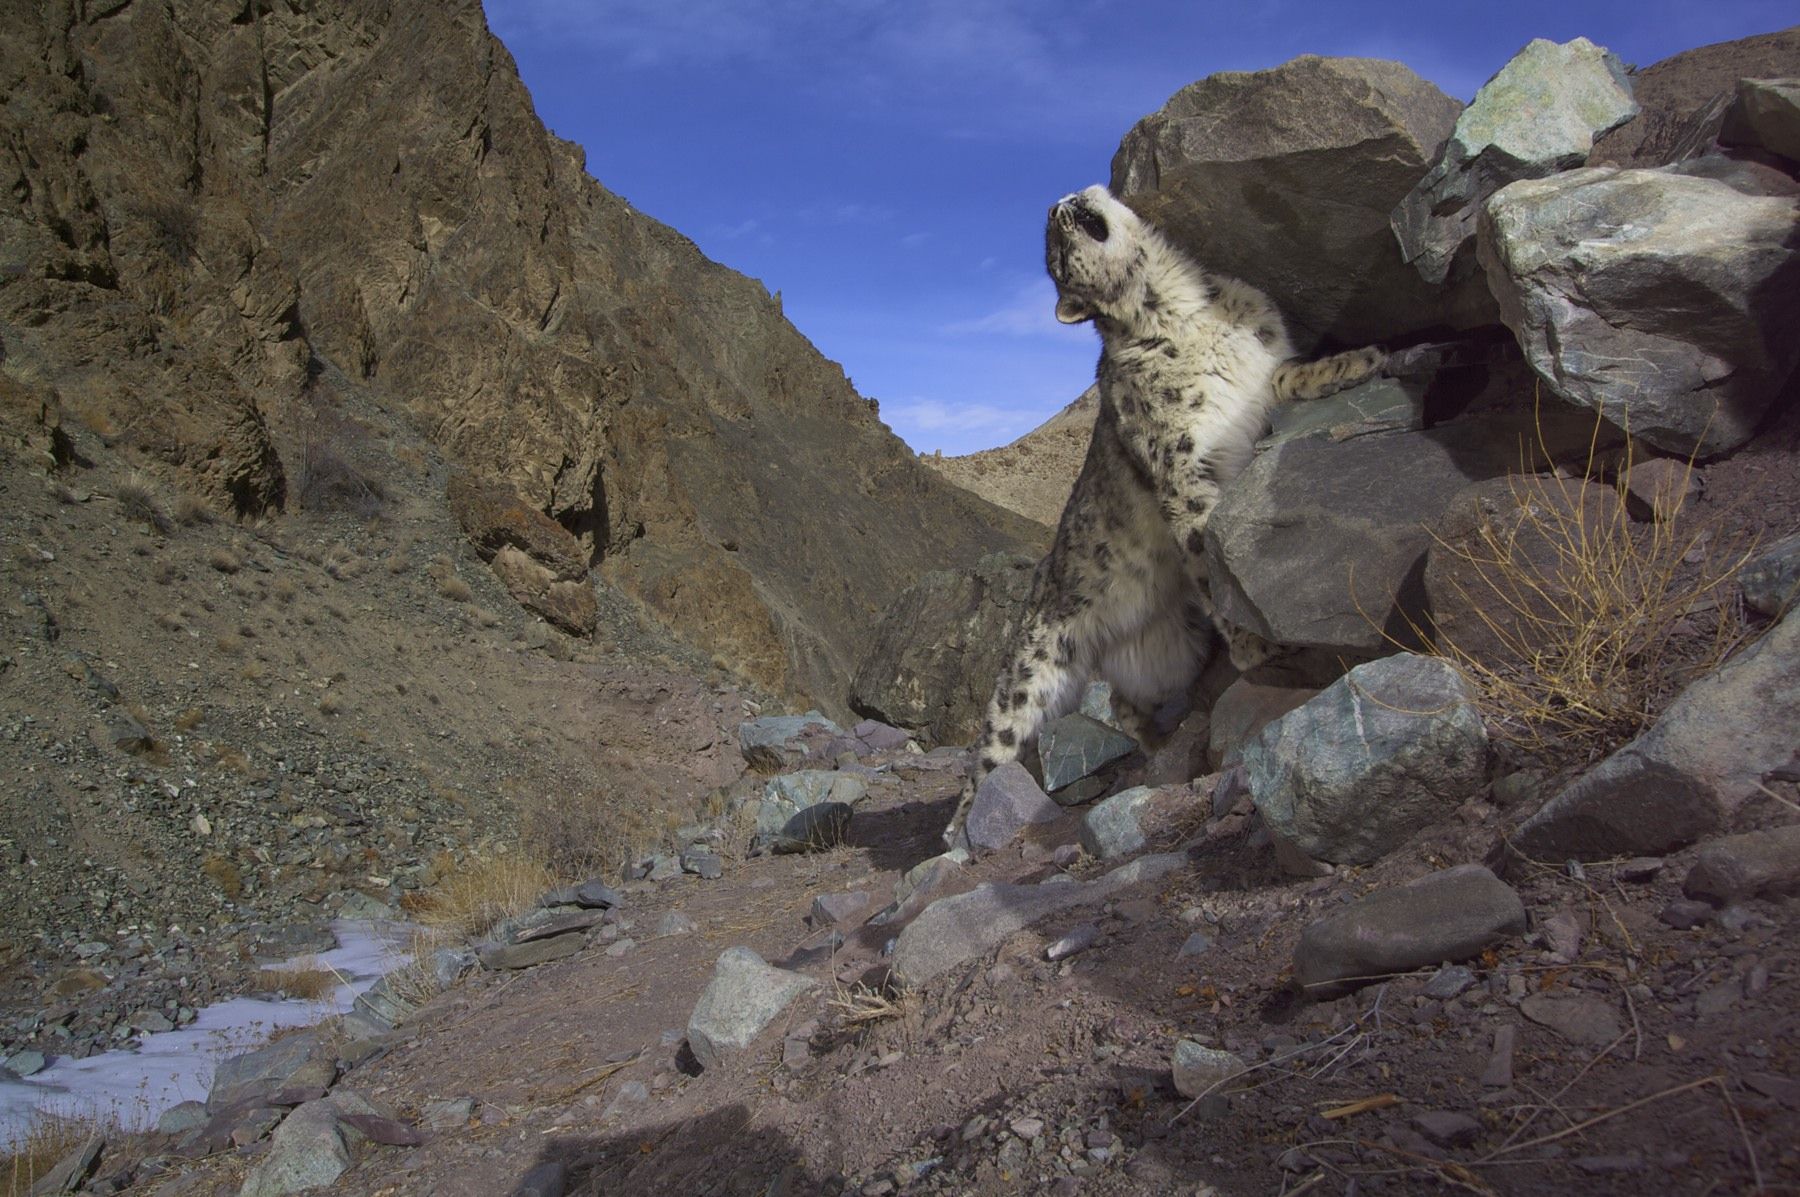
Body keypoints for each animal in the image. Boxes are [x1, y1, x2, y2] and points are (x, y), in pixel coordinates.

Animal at [943, 184, 1386, 849]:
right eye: (1055, 260)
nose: (1054, 207)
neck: (1184, 308)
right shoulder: (1180, 470)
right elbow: (1204, 548)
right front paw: (1256, 647)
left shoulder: (1261, 380)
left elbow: (1295, 374)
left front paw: (1363, 359)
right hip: (1027, 677)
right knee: (992, 748)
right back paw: (958, 835)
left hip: (1169, 650)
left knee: (1125, 704)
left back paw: (1156, 742)